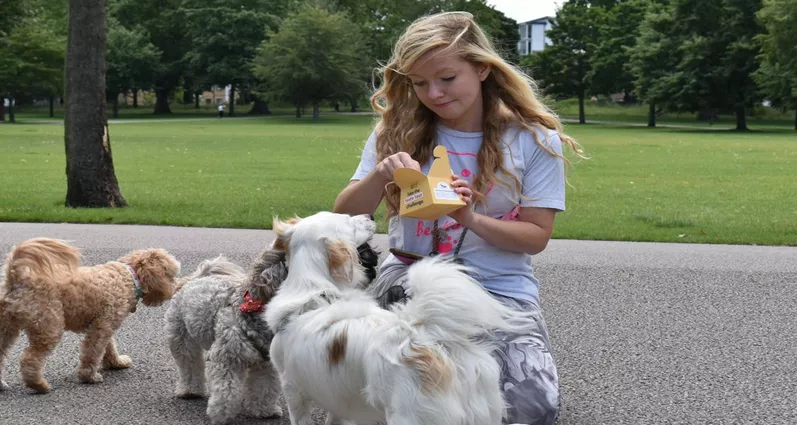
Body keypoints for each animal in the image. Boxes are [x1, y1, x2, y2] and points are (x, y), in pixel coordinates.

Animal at [0, 237, 180, 392]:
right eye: (171, 275)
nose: (176, 287)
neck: (129, 276)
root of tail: (17, 280)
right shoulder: (102, 327)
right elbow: (93, 352)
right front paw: (89, 376)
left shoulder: (104, 323)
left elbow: (109, 347)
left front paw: (116, 362)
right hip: (49, 326)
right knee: (30, 358)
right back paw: (39, 385)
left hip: (7, 328)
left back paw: (2, 384)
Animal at [164, 248, 286, 424]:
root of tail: (197, 278)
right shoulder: (227, 359)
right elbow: (227, 391)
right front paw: (221, 414)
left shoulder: (267, 364)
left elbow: (265, 387)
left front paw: (264, 410)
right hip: (181, 339)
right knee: (189, 366)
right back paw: (190, 390)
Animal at [264, 212, 524, 424]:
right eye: (347, 220)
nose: (370, 214)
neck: (312, 288)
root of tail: (431, 336)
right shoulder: (335, 399)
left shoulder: (292, 389)